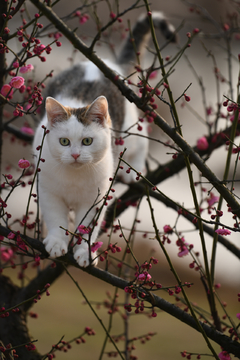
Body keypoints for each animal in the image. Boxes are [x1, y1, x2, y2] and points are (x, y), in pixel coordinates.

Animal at [32, 10, 176, 268]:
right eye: (64, 142)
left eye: (87, 141)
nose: (75, 154)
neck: (74, 178)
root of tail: (107, 63)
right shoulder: (49, 192)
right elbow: (56, 219)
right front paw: (57, 243)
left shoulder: (96, 200)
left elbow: (87, 227)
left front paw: (84, 252)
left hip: (131, 129)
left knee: (142, 143)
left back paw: (134, 169)